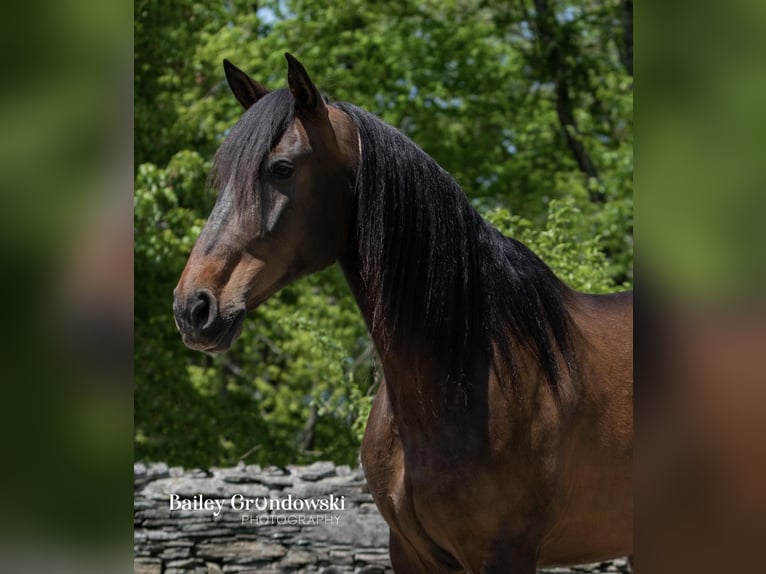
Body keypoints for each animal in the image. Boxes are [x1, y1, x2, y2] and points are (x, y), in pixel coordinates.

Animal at [174, 53, 636, 572]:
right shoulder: (413, 553)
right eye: (222, 179)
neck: (467, 367)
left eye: (281, 169)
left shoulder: (504, 552)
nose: (194, 306)